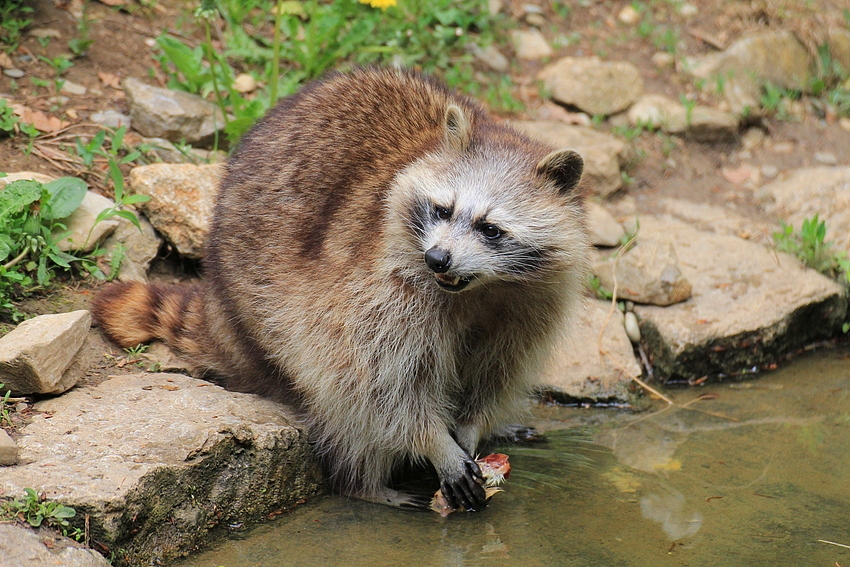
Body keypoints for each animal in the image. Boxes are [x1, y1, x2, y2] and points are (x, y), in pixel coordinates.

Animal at [89, 67, 588, 516]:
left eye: (490, 229)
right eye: (443, 209)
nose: (438, 259)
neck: (477, 287)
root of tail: (217, 305)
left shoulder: (533, 300)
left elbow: (497, 369)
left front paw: (470, 426)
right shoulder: (378, 287)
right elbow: (386, 384)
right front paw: (435, 443)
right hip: (259, 308)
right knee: (342, 394)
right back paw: (364, 483)